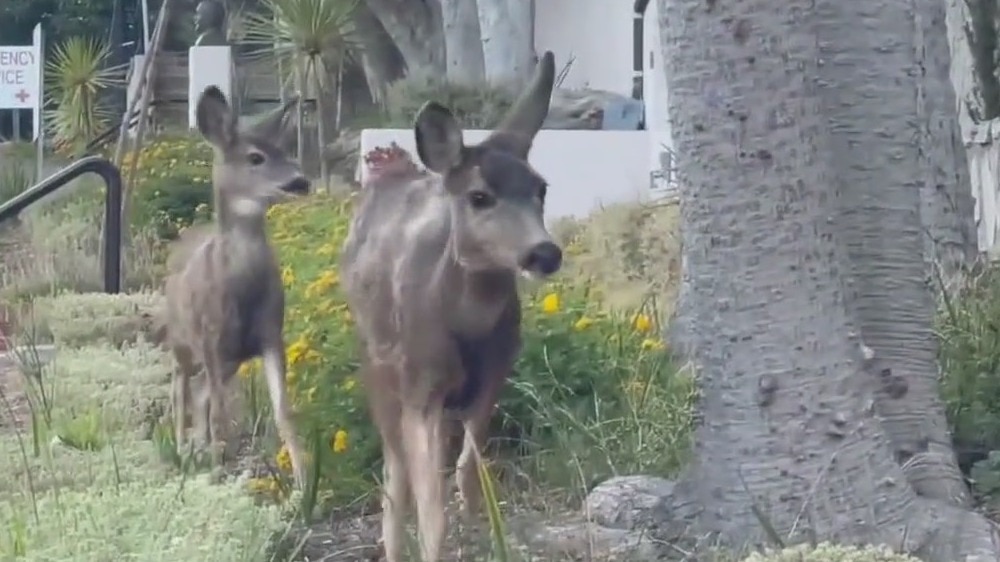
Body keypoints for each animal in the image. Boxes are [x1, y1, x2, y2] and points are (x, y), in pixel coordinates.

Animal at [156, 85, 310, 488]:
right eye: (255, 157)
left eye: (285, 151)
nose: (301, 181)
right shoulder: (211, 338)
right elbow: (219, 414)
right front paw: (216, 474)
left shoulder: (269, 335)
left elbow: (283, 410)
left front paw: (304, 485)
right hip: (181, 339)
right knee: (180, 389)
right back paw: (183, 451)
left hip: (230, 360)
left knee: (199, 394)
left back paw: (198, 451)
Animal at [340, 51, 560, 562]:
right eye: (479, 196)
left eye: (541, 189)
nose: (544, 253)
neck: (470, 324)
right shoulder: (419, 385)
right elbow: (429, 505)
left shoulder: (494, 376)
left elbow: (468, 475)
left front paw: (486, 537)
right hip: (379, 364)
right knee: (394, 473)